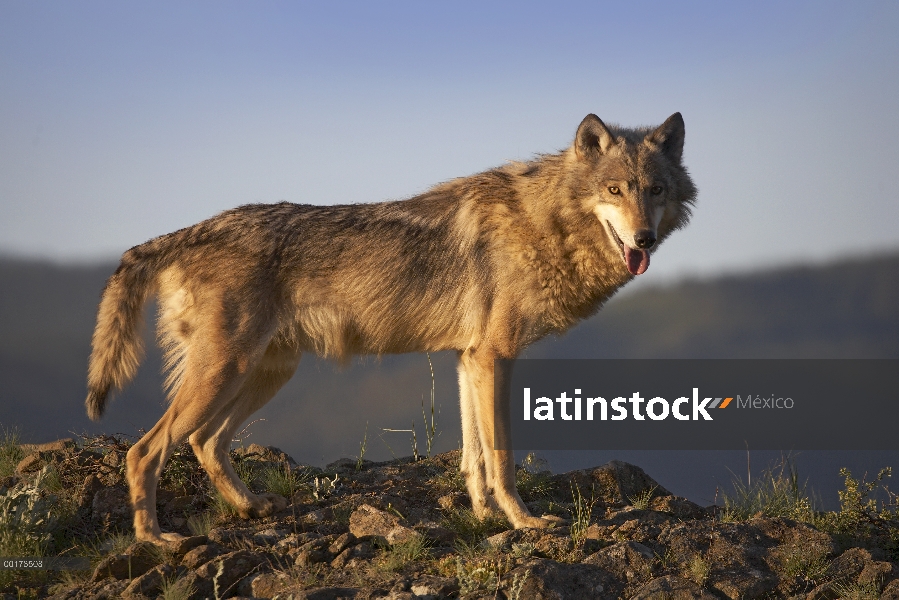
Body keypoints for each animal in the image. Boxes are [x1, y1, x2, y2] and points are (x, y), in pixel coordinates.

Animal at [86, 112, 696, 544]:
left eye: (655, 191)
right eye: (615, 190)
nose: (642, 239)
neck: (546, 220)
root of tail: (187, 231)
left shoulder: (469, 359)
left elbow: (474, 457)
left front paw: (483, 518)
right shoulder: (494, 357)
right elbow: (501, 457)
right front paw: (523, 523)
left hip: (266, 372)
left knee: (203, 441)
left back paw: (250, 506)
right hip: (228, 371)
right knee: (145, 451)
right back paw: (155, 540)